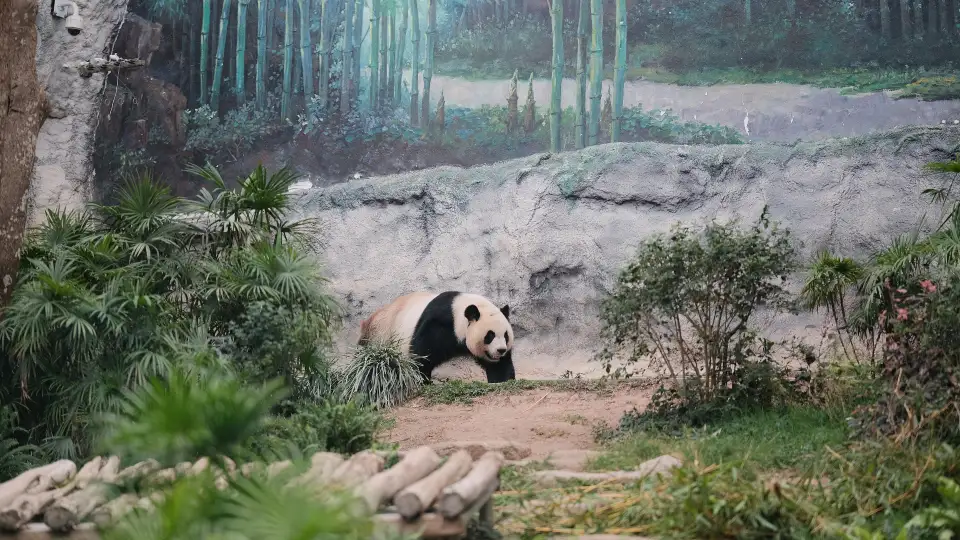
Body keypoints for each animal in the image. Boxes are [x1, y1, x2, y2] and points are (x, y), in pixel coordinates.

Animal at [358, 291, 516, 383]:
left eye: (506, 336)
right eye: (490, 335)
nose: (501, 350)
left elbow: (500, 366)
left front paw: (503, 380)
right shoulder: (439, 323)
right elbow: (421, 355)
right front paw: (422, 381)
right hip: (381, 336)